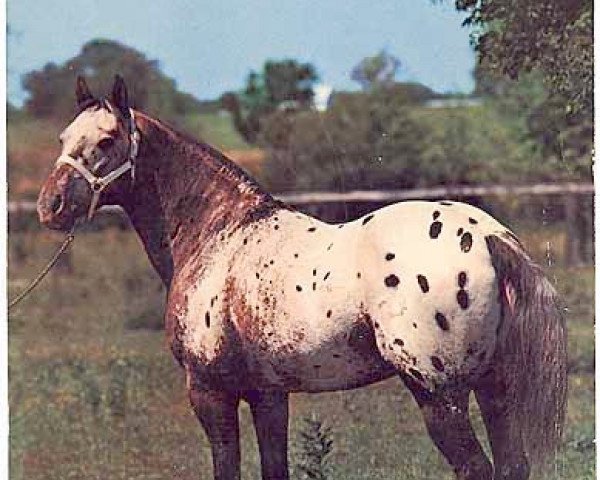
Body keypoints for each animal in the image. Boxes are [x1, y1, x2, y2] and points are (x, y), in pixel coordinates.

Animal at [38, 76, 568, 480]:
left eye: (107, 140)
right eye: (63, 139)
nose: (51, 206)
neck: (219, 234)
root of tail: (490, 237)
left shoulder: (210, 393)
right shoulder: (269, 396)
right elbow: (276, 467)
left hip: (440, 394)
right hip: (493, 389)